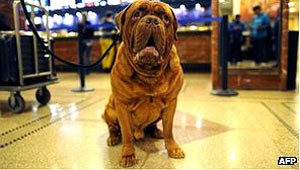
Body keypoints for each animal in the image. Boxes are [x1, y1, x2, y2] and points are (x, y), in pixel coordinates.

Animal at [102, 0, 184, 167]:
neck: (149, 73)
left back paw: (156, 131)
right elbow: (127, 134)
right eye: (137, 14)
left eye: (165, 17)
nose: (152, 20)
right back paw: (113, 138)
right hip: (109, 110)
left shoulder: (171, 103)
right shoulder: (122, 105)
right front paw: (128, 156)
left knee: (154, 125)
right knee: (113, 127)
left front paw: (173, 148)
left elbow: (169, 129)